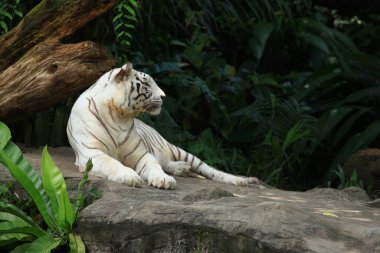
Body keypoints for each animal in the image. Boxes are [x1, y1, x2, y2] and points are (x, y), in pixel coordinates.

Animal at [67, 62, 260, 190]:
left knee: (210, 170)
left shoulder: (140, 153)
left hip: (179, 150)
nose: (164, 96)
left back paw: (239, 180)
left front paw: (164, 180)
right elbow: (112, 163)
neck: (119, 116)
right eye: (147, 84)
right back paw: (181, 168)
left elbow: (153, 165)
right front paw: (129, 176)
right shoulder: (92, 153)